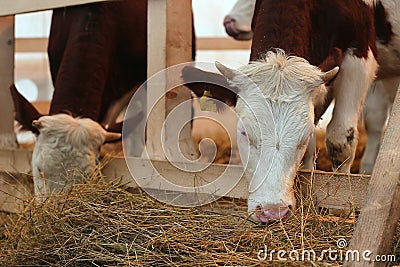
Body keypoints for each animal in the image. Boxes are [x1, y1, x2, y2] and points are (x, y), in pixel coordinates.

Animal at [184, 0, 378, 224]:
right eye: (244, 133)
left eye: (304, 136)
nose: (272, 211)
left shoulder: (360, 53)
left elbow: (340, 137)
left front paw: (343, 210)